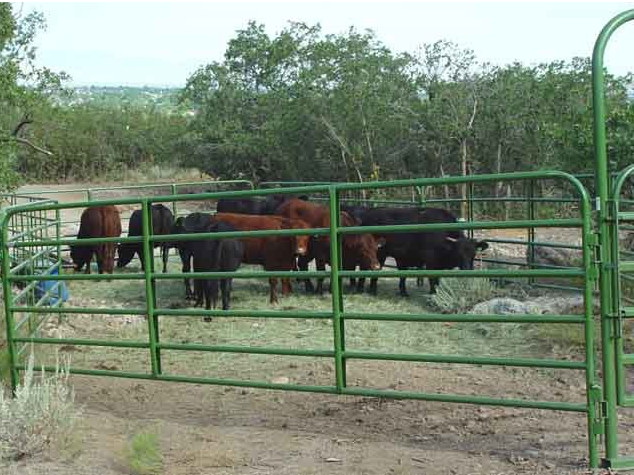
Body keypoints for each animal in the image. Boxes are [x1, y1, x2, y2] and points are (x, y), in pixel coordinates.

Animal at [358, 207, 486, 296]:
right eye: (459, 253)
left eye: (474, 254)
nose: (468, 270)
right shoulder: (431, 262)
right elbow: (432, 279)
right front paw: (433, 293)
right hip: (379, 253)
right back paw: (370, 290)